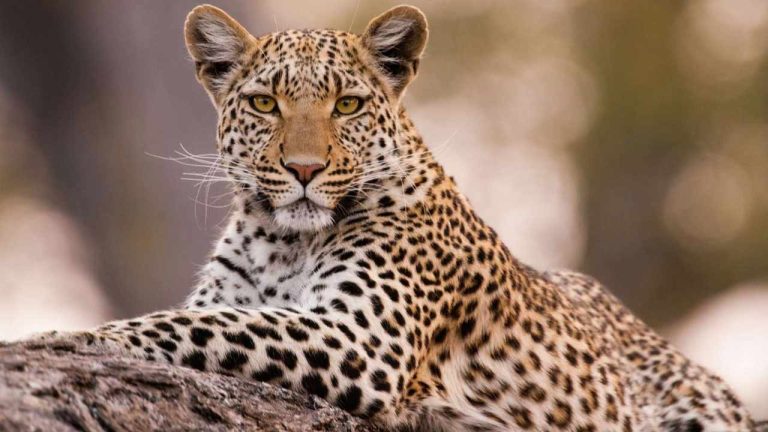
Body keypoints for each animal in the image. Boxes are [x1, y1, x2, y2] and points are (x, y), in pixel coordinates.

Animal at [26, 4, 755, 431]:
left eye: (347, 105)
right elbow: (210, 314)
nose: (304, 169)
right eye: (264, 103)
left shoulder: (363, 339)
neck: (281, 241)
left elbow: (197, 324)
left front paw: (63, 338)